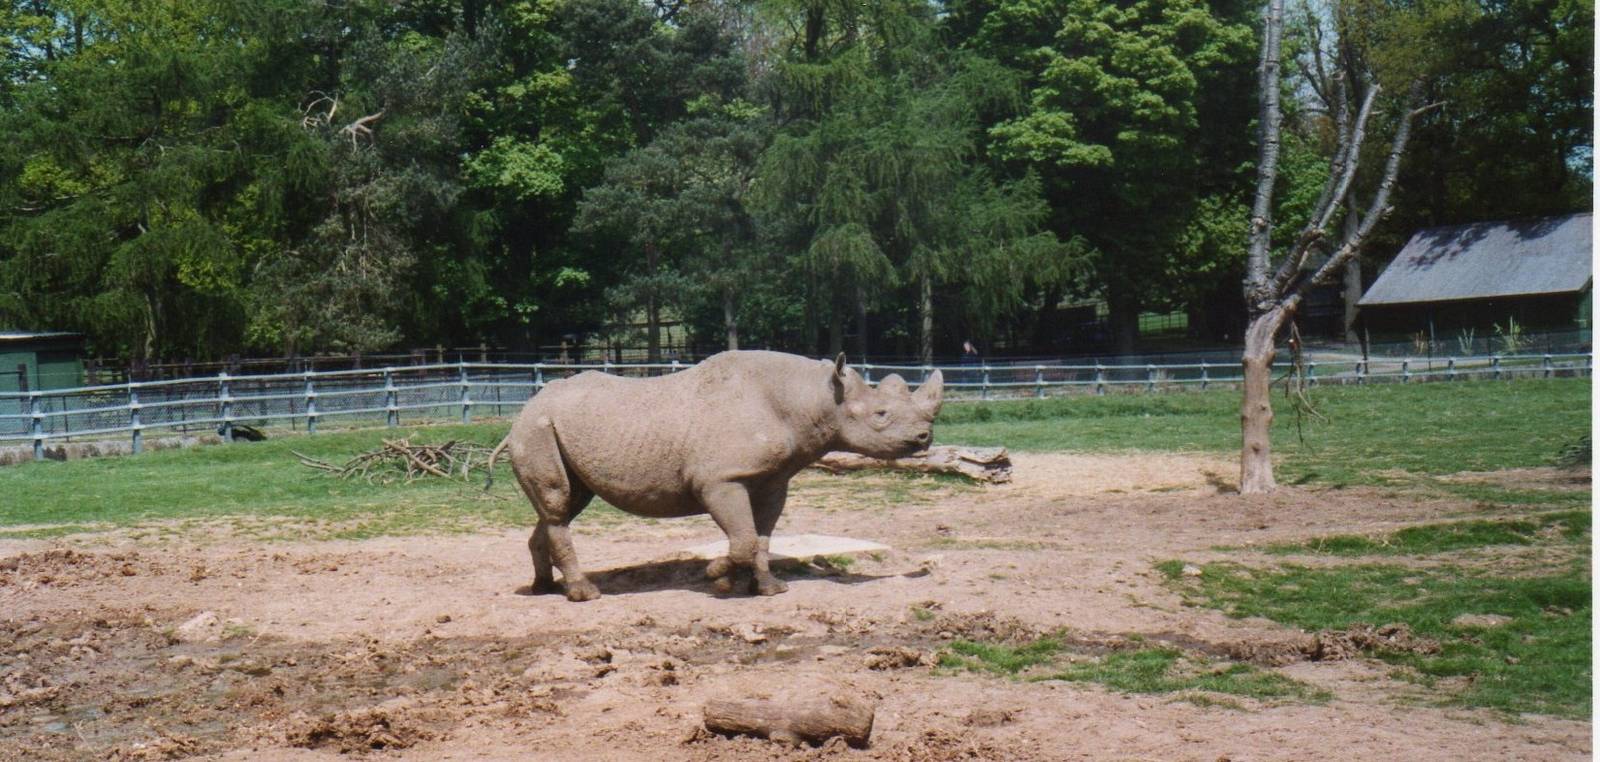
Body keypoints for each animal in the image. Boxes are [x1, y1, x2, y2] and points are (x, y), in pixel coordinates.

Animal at [489, 350, 944, 601]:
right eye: (881, 415)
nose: (925, 437)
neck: (811, 398)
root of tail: (522, 411)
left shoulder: (772, 479)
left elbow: (761, 537)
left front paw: (769, 589)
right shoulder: (721, 479)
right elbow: (742, 539)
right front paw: (715, 578)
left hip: (549, 428)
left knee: (564, 505)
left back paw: (544, 588)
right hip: (536, 429)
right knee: (558, 504)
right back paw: (584, 595)